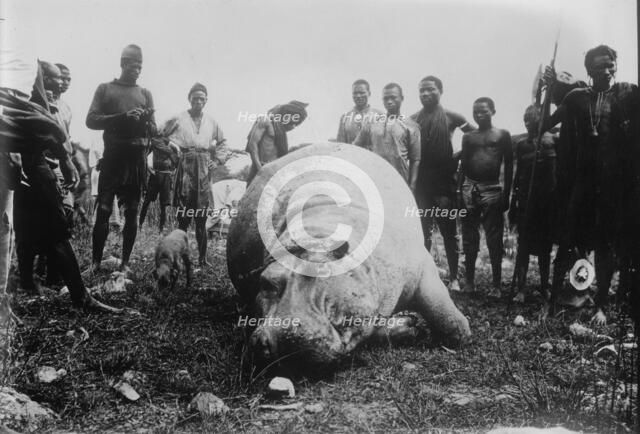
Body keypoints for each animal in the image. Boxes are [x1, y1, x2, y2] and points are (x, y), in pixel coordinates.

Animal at [227, 142, 471, 368]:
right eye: (266, 283)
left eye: (320, 272)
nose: (275, 339)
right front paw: (409, 327)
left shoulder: (419, 265)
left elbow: (444, 311)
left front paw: (461, 334)